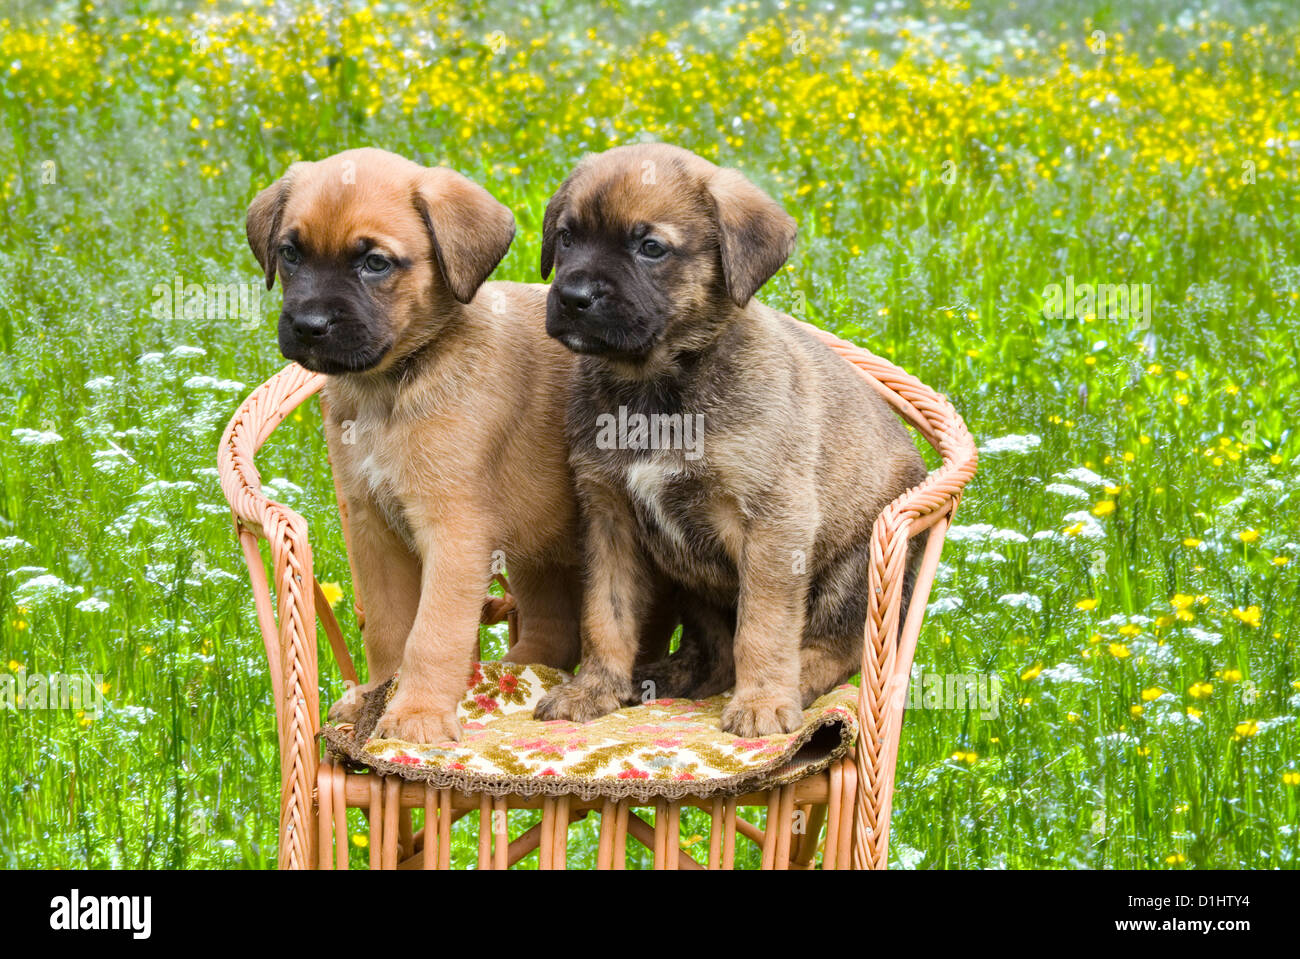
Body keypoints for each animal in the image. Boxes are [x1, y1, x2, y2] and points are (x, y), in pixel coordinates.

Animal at [245, 147, 592, 738]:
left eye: (375, 263)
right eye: (290, 253)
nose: (309, 325)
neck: (390, 387)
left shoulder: (454, 531)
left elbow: (432, 633)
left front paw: (419, 714)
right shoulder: (373, 528)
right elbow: (389, 629)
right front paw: (375, 697)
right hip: (539, 548)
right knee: (554, 630)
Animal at [533, 145, 930, 738]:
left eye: (651, 248)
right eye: (566, 237)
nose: (574, 297)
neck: (654, 386)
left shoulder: (775, 520)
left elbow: (764, 627)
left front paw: (763, 702)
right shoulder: (609, 514)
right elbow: (606, 616)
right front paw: (594, 689)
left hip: (852, 568)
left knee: (839, 652)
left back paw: (796, 684)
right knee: (715, 651)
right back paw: (665, 677)